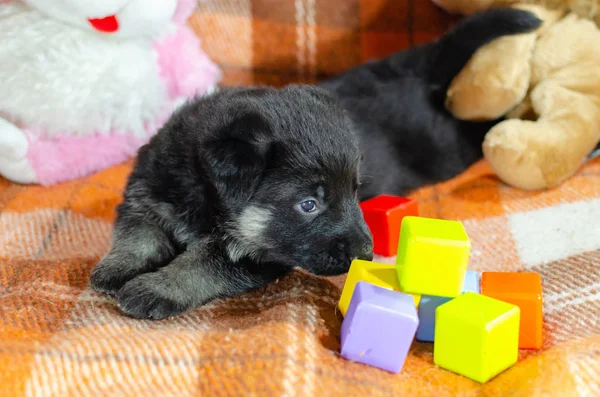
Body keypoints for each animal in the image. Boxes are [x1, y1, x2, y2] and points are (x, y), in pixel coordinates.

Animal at [90, 8, 544, 318]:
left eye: (356, 191)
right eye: (308, 204)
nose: (366, 253)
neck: (203, 197)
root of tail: (415, 67)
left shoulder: (257, 258)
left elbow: (203, 263)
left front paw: (158, 286)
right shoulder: (146, 195)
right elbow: (137, 235)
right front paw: (117, 267)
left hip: (447, 146)